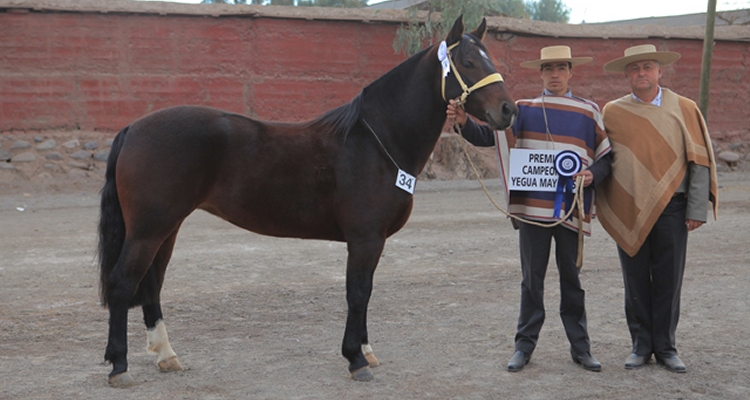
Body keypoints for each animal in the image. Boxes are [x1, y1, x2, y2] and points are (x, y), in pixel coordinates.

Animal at [100, 16, 520, 388]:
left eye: (490, 59)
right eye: (468, 62)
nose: (508, 110)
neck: (376, 142)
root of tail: (133, 128)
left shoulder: (372, 241)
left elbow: (366, 292)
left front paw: (366, 352)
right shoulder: (365, 239)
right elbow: (357, 293)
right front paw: (355, 359)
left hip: (166, 228)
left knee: (152, 285)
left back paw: (166, 355)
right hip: (148, 230)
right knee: (123, 283)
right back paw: (119, 367)